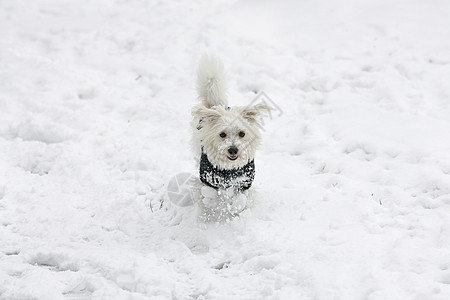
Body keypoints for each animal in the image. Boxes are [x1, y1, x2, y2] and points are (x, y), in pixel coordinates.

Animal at [191, 54, 268, 218]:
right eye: (222, 134)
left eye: (242, 133)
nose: (233, 150)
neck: (229, 169)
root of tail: (218, 106)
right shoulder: (207, 178)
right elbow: (209, 195)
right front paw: (215, 205)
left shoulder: (244, 181)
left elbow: (240, 200)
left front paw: (233, 208)